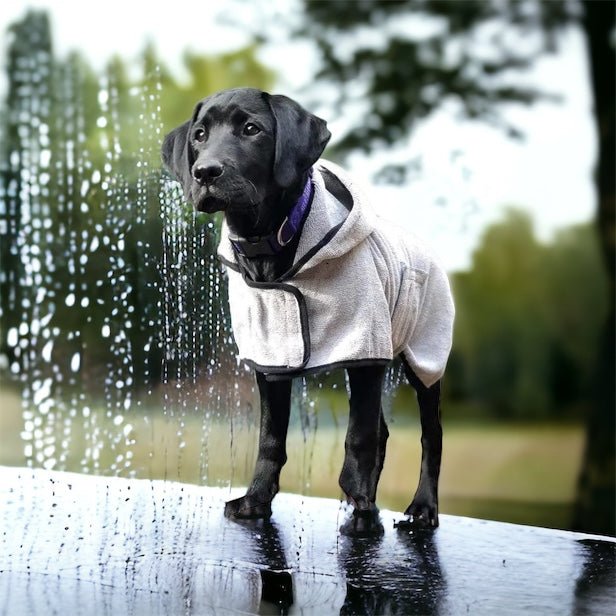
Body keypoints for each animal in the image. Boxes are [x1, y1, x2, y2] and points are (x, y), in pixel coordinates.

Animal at [161, 86, 454, 536]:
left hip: (423, 355)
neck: (270, 245)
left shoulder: (365, 348)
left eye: (252, 129)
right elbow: (271, 438)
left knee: (429, 434)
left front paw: (364, 517)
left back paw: (421, 509)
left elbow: (359, 439)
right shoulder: (271, 355)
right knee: (383, 430)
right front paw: (256, 501)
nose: (205, 172)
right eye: (199, 134)